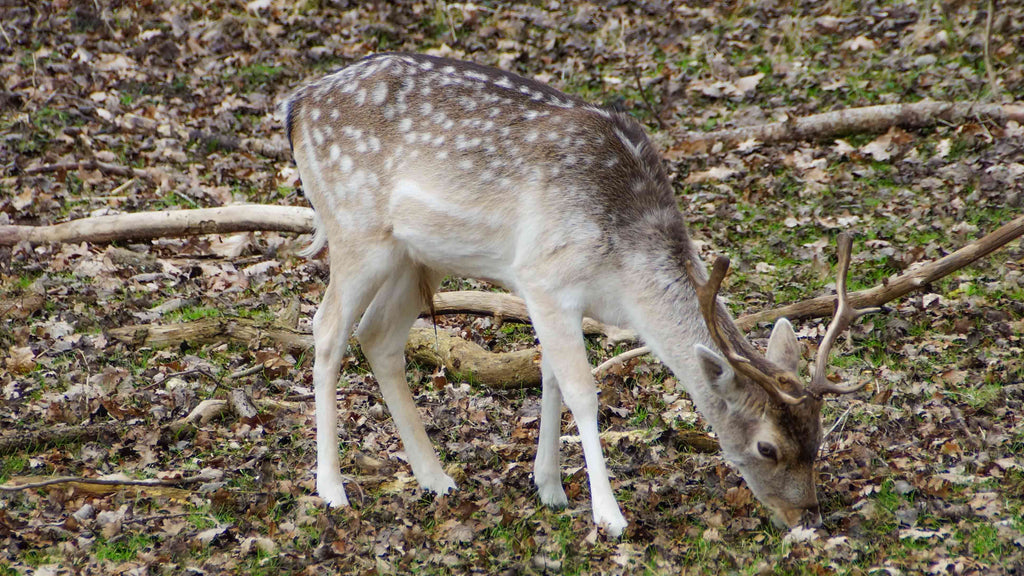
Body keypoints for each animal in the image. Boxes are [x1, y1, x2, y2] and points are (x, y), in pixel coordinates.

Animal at [284, 51, 876, 537]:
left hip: (417, 257)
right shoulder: (544, 276)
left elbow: (548, 377)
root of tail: (296, 104)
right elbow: (582, 391)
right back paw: (331, 489)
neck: (622, 274)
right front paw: (608, 516)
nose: (808, 518)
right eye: (767, 447)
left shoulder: (550, 297)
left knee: (378, 336)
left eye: (817, 439)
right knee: (327, 330)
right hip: (356, 228)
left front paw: (548, 488)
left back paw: (435, 478)